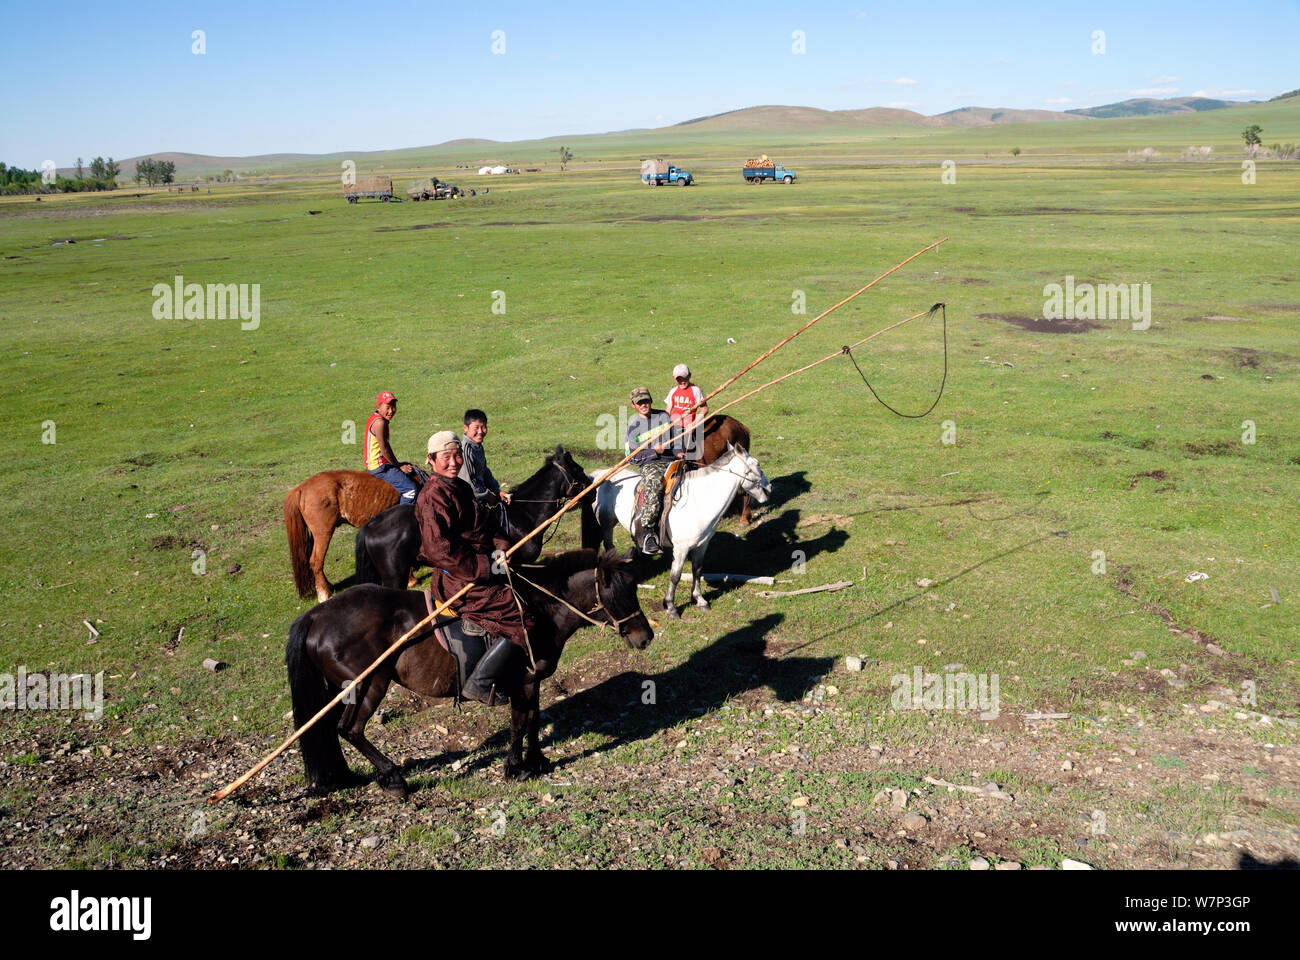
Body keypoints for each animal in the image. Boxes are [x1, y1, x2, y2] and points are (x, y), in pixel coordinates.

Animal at [284, 546, 650, 790]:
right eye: (617, 595)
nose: (646, 637)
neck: (540, 611)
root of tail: (317, 615)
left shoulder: (532, 682)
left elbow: (533, 719)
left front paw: (537, 762)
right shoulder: (524, 681)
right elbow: (521, 722)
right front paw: (515, 768)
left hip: (341, 690)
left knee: (332, 728)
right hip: (369, 684)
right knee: (350, 729)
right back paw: (393, 777)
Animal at [592, 444, 769, 616]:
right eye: (757, 464)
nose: (769, 489)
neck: (698, 502)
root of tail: (598, 474)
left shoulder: (702, 545)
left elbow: (697, 570)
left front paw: (699, 599)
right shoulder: (681, 548)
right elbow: (675, 576)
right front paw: (670, 606)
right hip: (606, 525)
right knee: (609, 547)